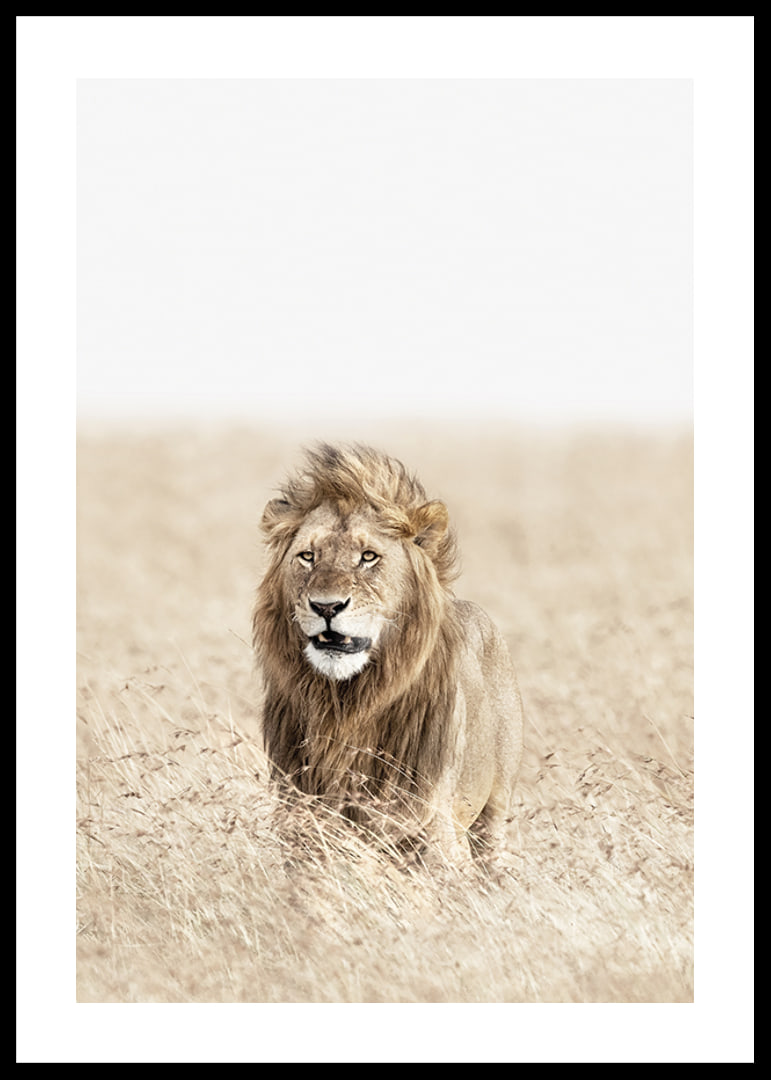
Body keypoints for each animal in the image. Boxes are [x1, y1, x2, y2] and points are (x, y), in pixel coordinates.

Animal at [252, 442, 524, 865]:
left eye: (368, 556)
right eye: (308, 556)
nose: (326, 606)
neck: (345, 705)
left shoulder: (432, 827)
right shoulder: (301, 820)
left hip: (495, 811)